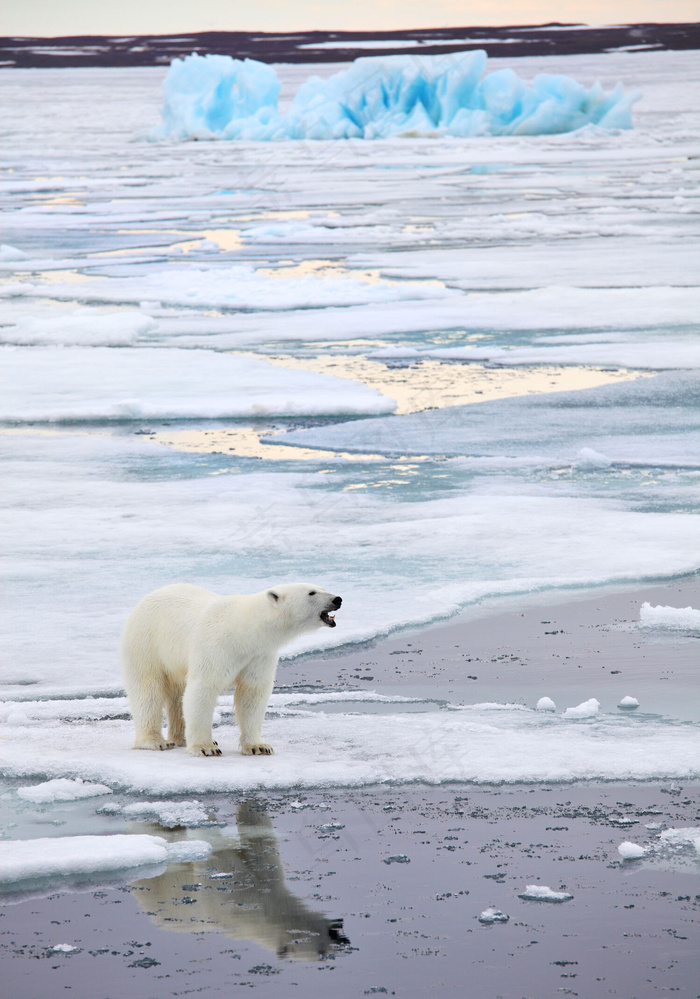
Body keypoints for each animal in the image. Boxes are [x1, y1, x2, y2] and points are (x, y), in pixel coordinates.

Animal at [119, 584, 342, 752]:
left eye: (322, 587)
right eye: (311, 592)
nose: (337, 599)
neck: (243, 631)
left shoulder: (259, 655)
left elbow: (252, 693)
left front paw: (258, 746)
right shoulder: (215, 646)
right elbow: (203, 688)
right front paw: (205, 747)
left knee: (176, 695)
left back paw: (180, 738)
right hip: (147, 642)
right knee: (147, 690)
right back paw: (155, 741)